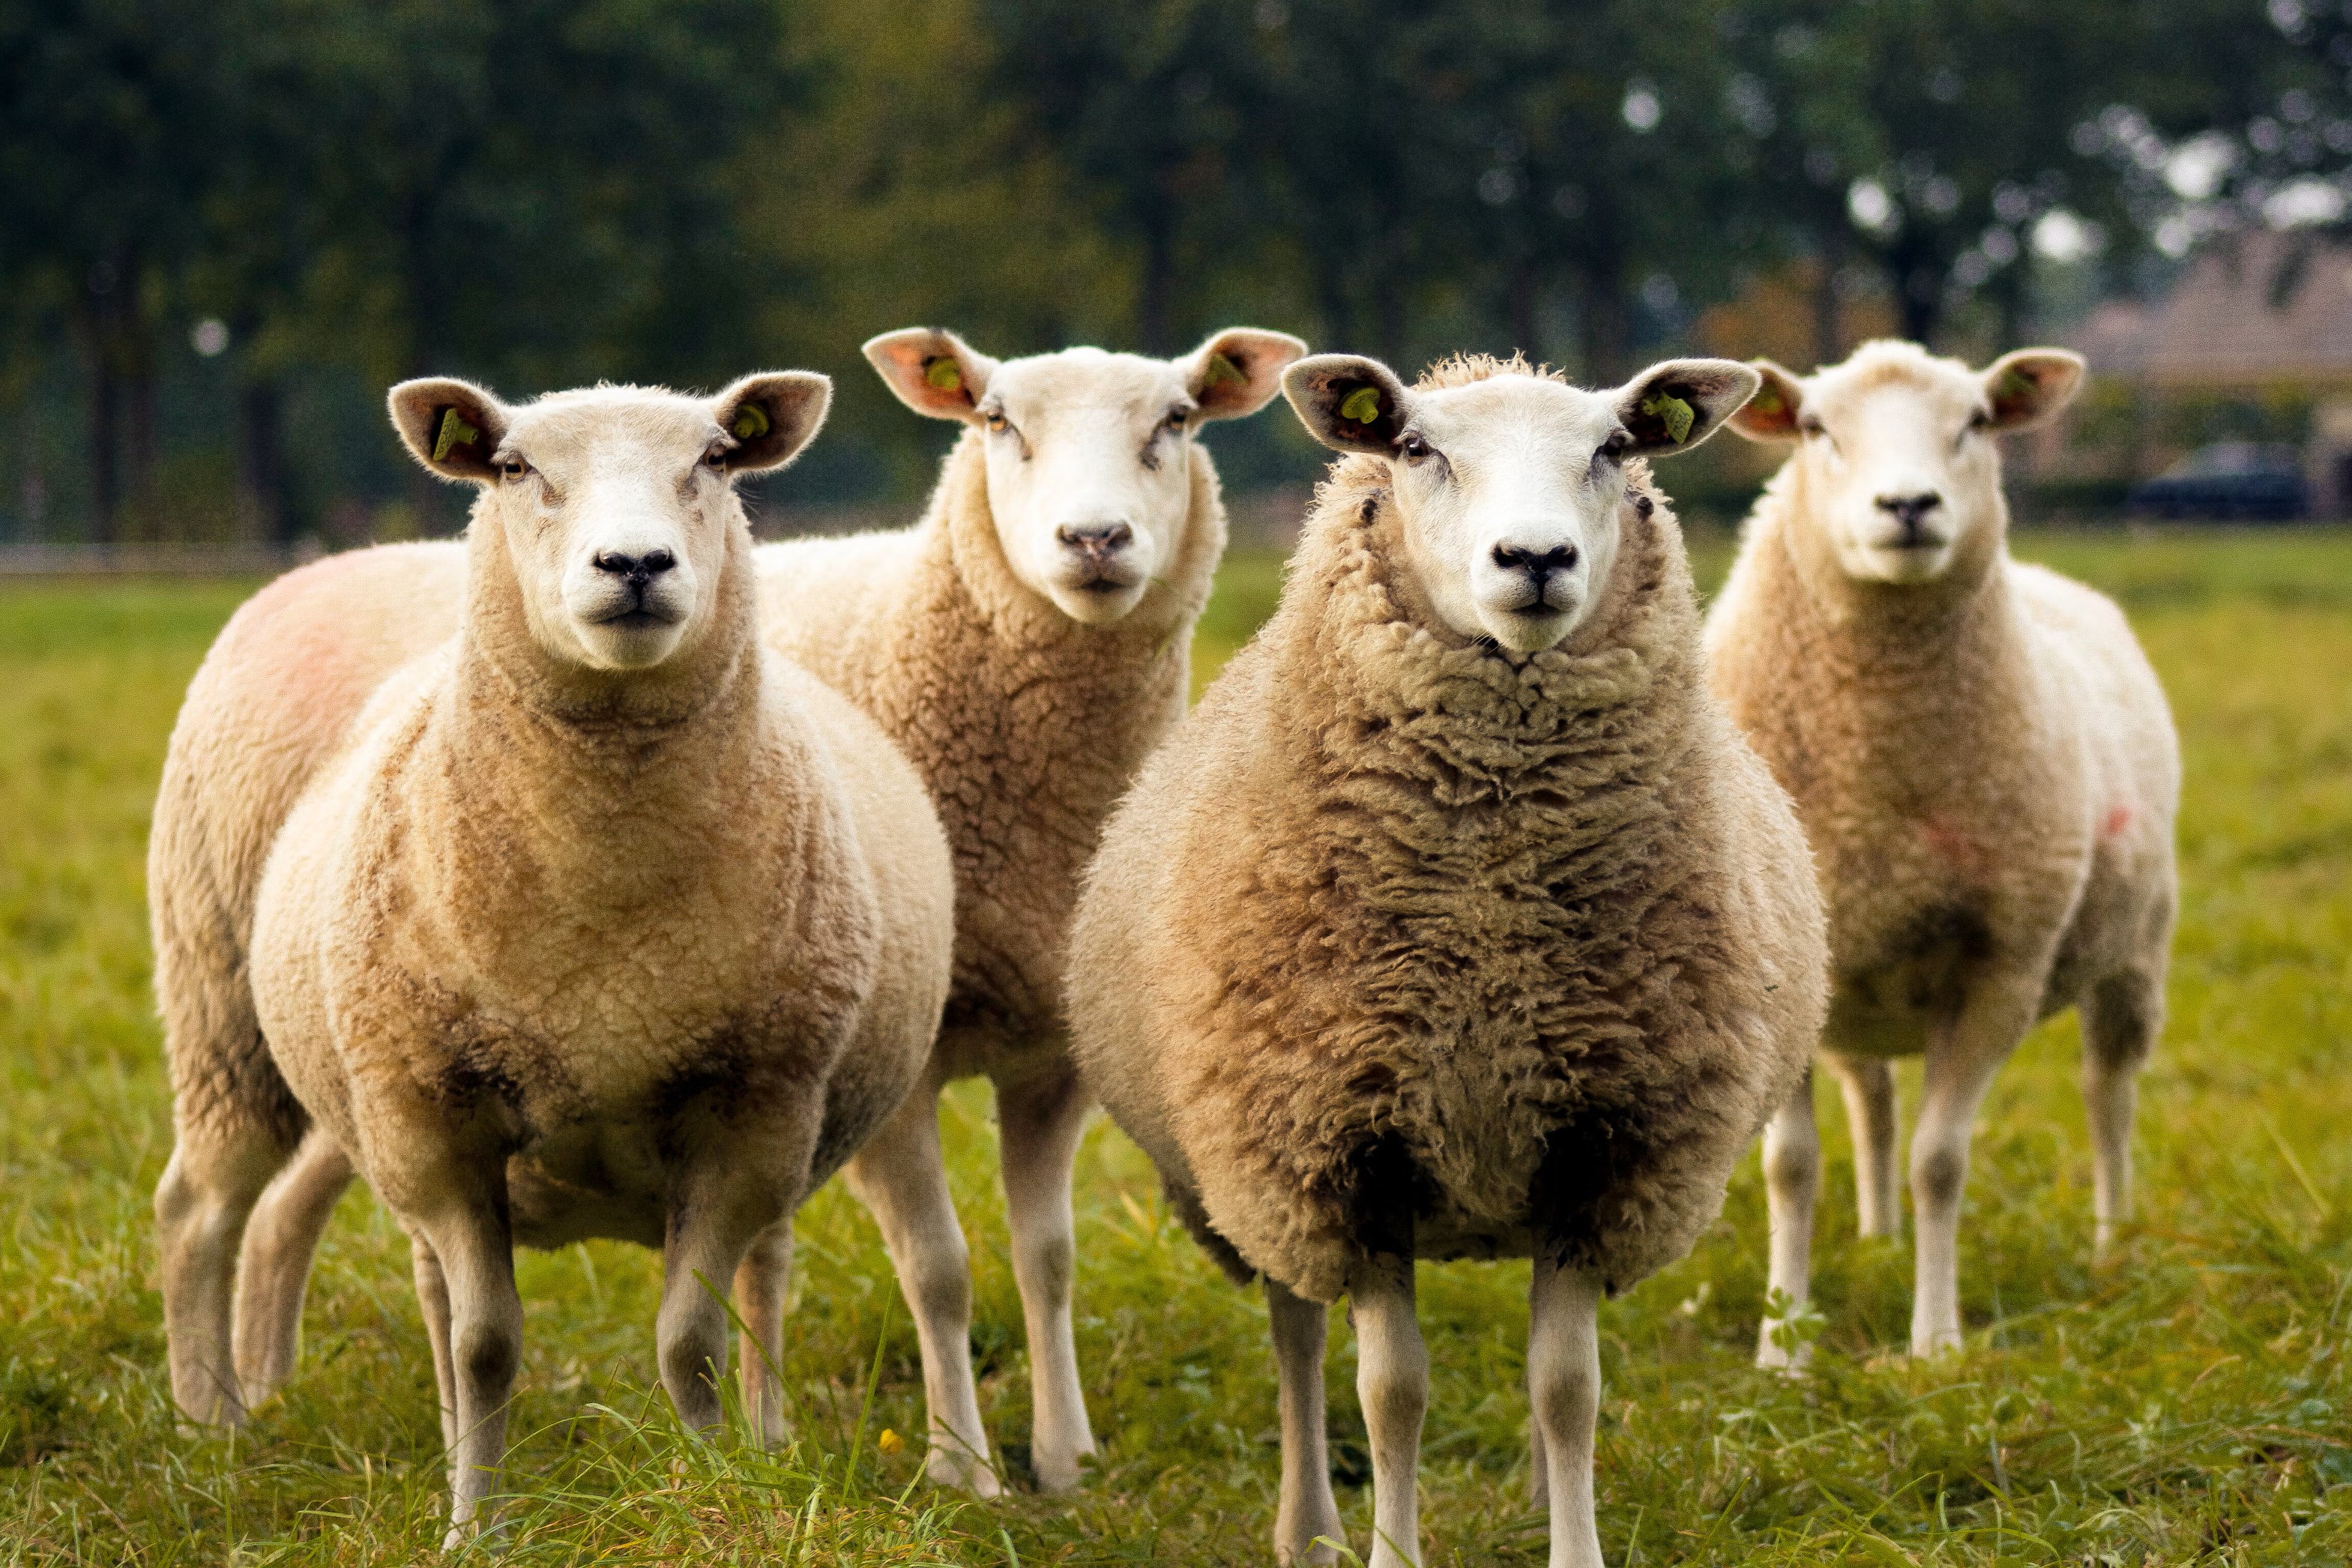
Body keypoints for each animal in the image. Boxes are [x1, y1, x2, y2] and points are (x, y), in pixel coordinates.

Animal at [154, 373, 955, 1542]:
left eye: (717, 458)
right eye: (514, 467)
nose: (634, 565)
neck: (602, 921)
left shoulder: (751, 1111)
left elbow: (689, 1340)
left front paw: (714, 1491)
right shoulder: (435, 1116)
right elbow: (486, 1345)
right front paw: (473, 1529)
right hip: (225, 1010)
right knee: (204, 1209)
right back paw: (208, 1429)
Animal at [747, 322, 1317, 1495]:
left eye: (1177, 419)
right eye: (998, 421)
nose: (1093, 537)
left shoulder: (1054, 1054)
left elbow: (1046, 1259)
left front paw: (1064, 1458)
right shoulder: (902, 1059)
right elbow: (938, 1267)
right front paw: (962, 1467)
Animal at [1063, 355, 1815, 1568]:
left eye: (1615, 448)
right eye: (1416, 448)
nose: (1535, 560)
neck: (1488, 922)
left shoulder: (1599, 1145)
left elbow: (1566, 1388)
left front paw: (1573, 1548)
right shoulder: (1341, 1150)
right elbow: (1391, 1394)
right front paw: (1390, 1552)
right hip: (1259, 1177)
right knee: (1296, 1338)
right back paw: (1309, 1531)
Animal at [1712, 340, 2183, 1363]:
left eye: (1974, 421)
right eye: (1815, 427)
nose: (1908, 507)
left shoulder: (2001, 967)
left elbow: (1941, 1161)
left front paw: (1935, 1343)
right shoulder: (1780, 977)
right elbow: (1791, 1166)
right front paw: (1783, 1346)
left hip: (2134, 951)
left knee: (2108, 1094)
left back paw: (2113, 1243)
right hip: (1855, 983)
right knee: (1874, 1099)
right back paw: (1878, 1239)